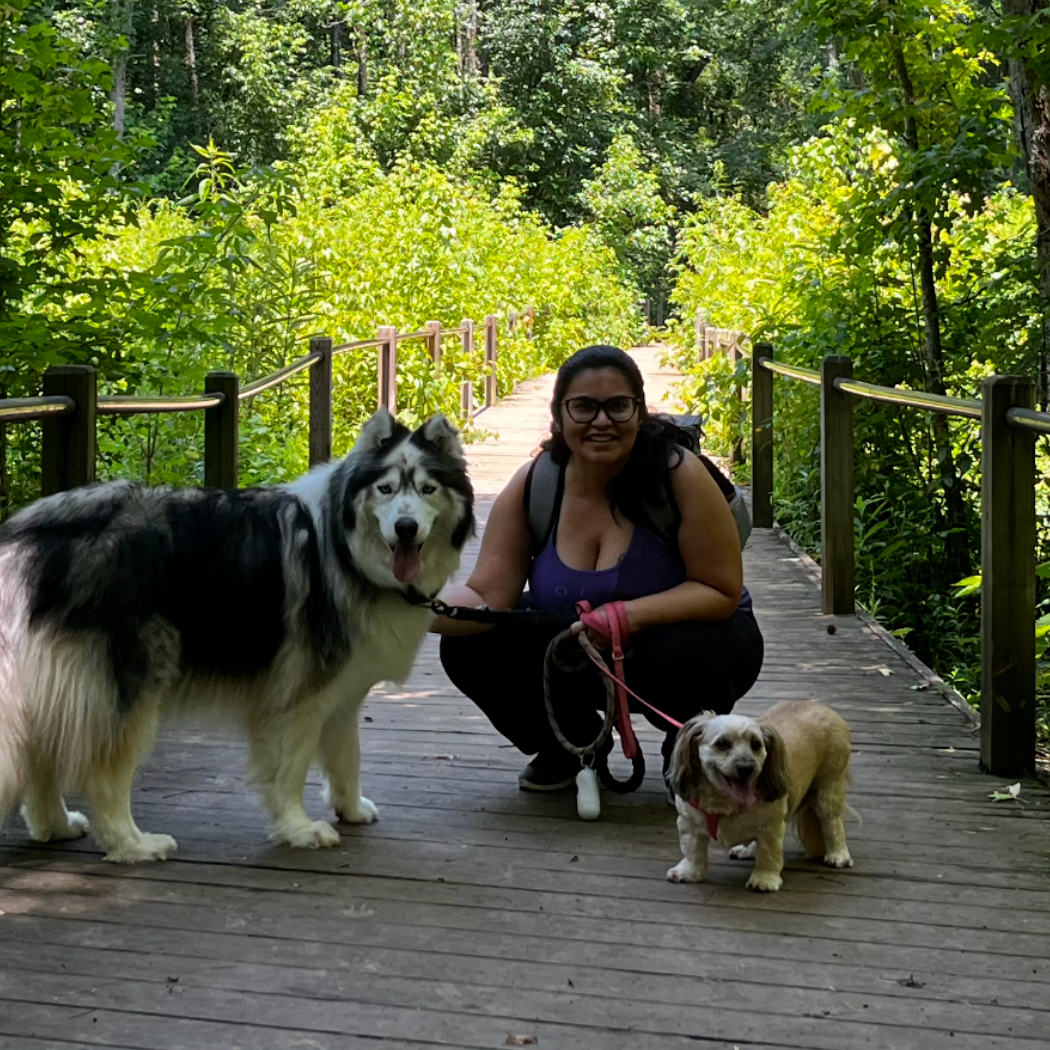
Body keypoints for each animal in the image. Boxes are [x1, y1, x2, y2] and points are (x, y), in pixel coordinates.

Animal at [0, 409, 472, 860]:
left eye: (428, 489)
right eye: (386, 490)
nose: (406, 528)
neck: (346, 549)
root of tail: (26, 540)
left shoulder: (341, 692)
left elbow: (347, 756)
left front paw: (350, 808)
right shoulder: (298, 694)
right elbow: (291, 769)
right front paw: (299, 828)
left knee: (40, 760)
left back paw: (56, 826)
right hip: (129, 685)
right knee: (103, 775)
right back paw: (133, 845)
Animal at [672, 701, 852, 890]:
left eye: (756, 744)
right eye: (722, 743)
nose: (746, 768)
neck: (726, 801)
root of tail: (821, 706)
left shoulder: (771, 826)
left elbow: (768, 854)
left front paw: (764, 879)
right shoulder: (688, 823)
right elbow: (692, 851)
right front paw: (689, 872)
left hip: (828, 790)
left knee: (832, 823)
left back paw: (838, 854)